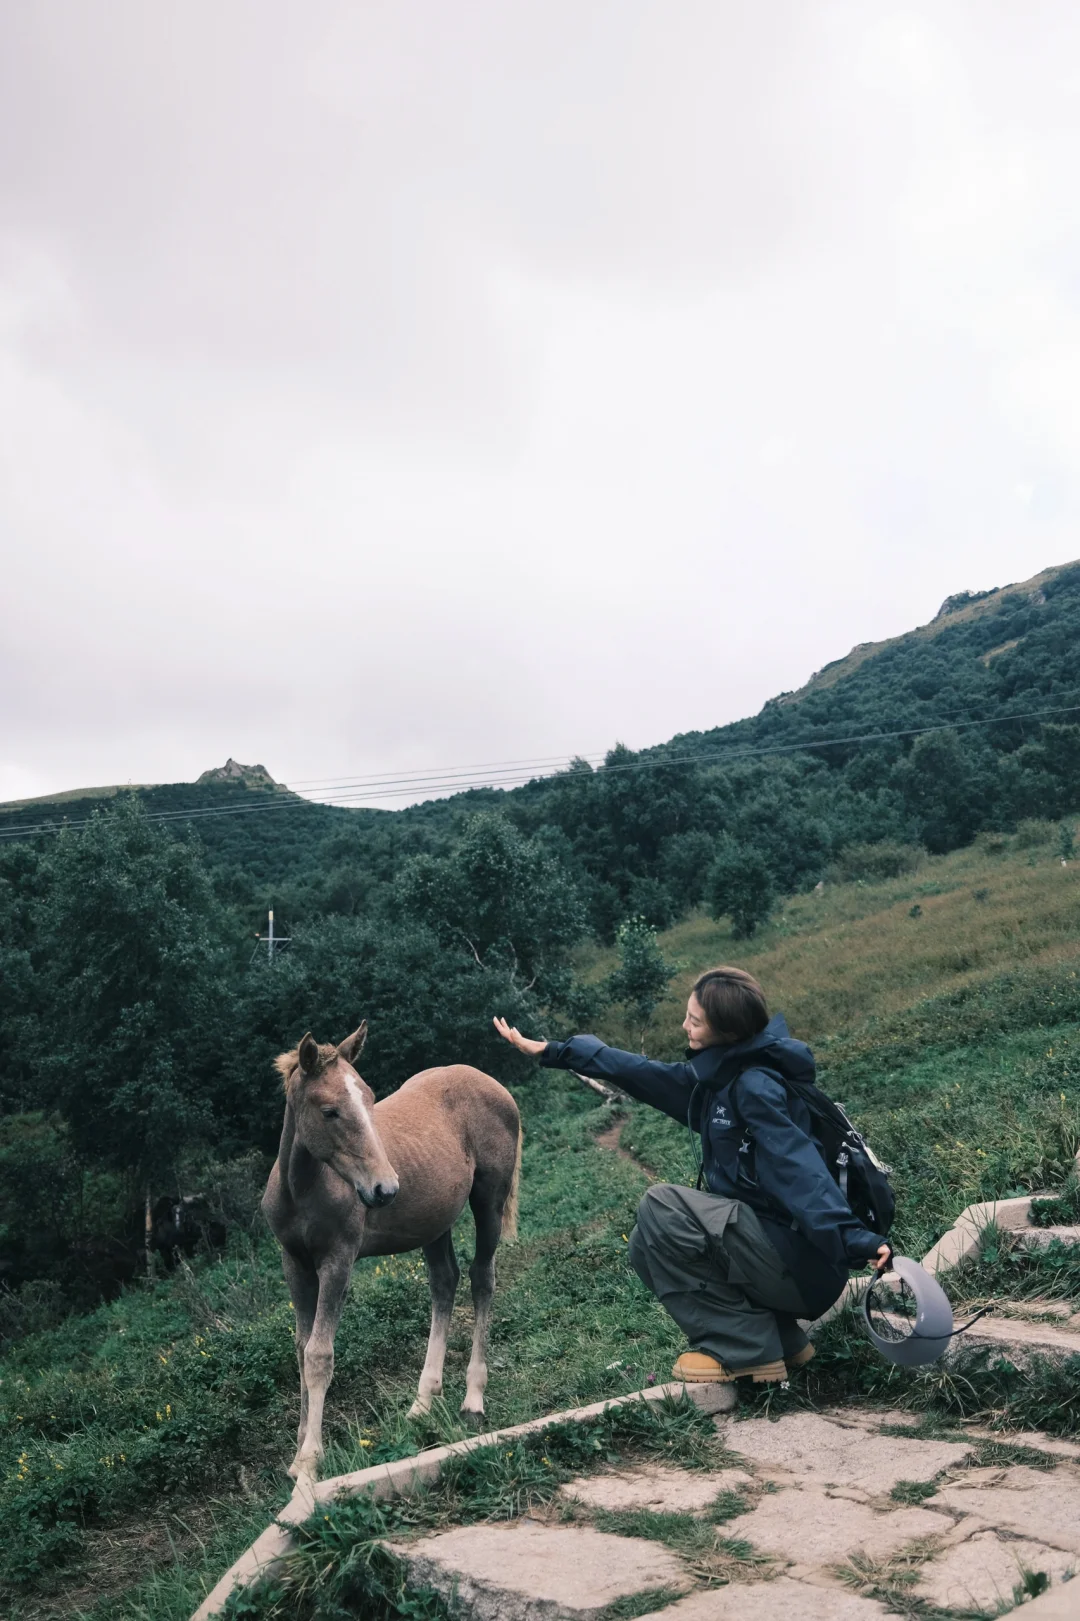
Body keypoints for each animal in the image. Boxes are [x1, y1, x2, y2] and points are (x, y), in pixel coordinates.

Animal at [256, 1030, 518, 1478]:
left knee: (482, 1278)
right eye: (329, 1111)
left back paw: (473, 1400)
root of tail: (493, 1084)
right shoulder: (294, 1263)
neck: (301, 1189)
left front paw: (309, 1460)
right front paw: (297, 1454)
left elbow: (320, 1354)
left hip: (489, 1201)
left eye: (369, 1097)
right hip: (434, 1223)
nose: (385, 1188)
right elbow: (302, 1349)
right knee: (444, 1282)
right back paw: (422, 1402)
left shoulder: (338, 1260)